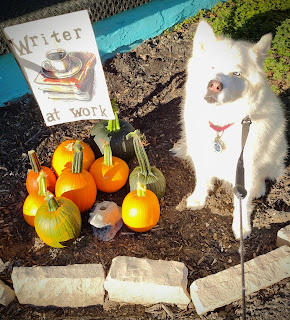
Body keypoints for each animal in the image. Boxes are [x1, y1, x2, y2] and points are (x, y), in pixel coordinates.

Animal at [172, 20, 288, 239]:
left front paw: (241, 227)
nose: (214, 85)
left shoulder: (245, 169)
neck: (221, 124)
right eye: (212, 66)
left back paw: (259, 187)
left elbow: (242, 204)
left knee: (265, 173)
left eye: (237, 73)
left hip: (277, 149)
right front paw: (198, 199)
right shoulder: (202, 155)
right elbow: (202, 180)